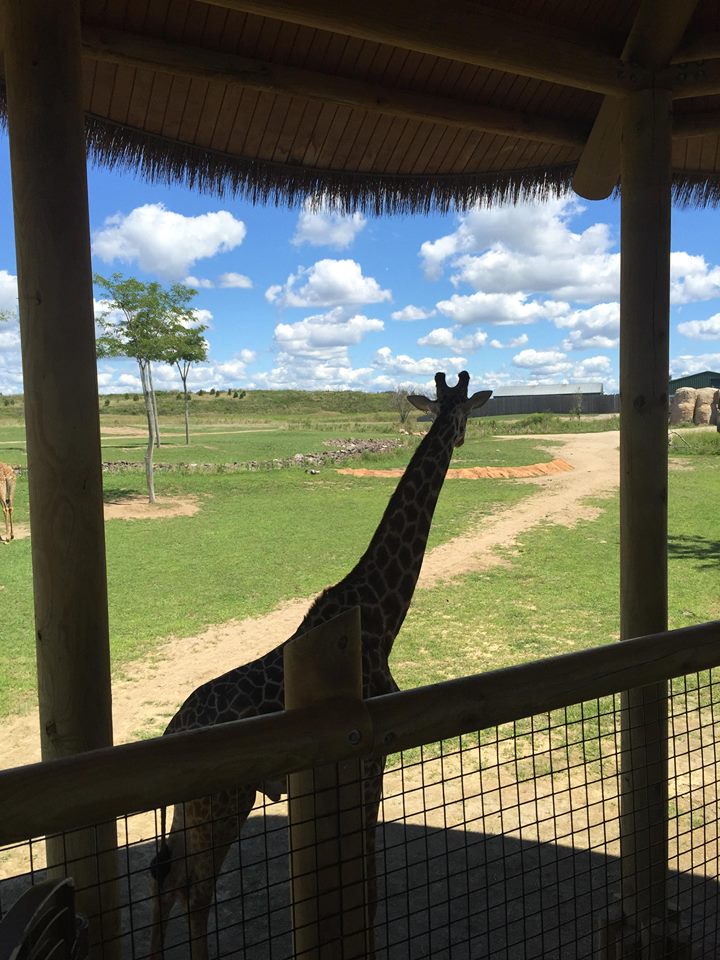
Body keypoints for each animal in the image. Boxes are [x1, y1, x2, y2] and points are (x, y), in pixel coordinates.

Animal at [149, 371, 492, 959]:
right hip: (224, 803)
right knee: (195, 891)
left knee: (169, 882)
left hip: (189, 811)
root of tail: (174, 727)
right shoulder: (371, 757)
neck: (379, 617)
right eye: (461, 411)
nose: (464, 439)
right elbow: (368, 882)